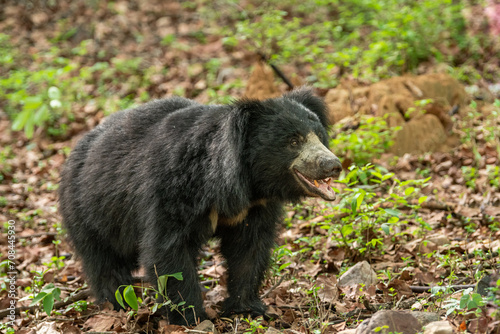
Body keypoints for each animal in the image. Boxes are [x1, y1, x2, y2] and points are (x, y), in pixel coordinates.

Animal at [57, 87, 340, 324]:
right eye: (293, 141)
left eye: (319, 137)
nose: (333, 165)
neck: (245, 185)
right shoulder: (172, 190)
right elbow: (169, 251)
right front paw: (192, 317)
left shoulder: (254, 209)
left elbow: (249, 249)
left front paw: (247, 308)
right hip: (89, 211)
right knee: (104, 263)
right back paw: (117, 303)